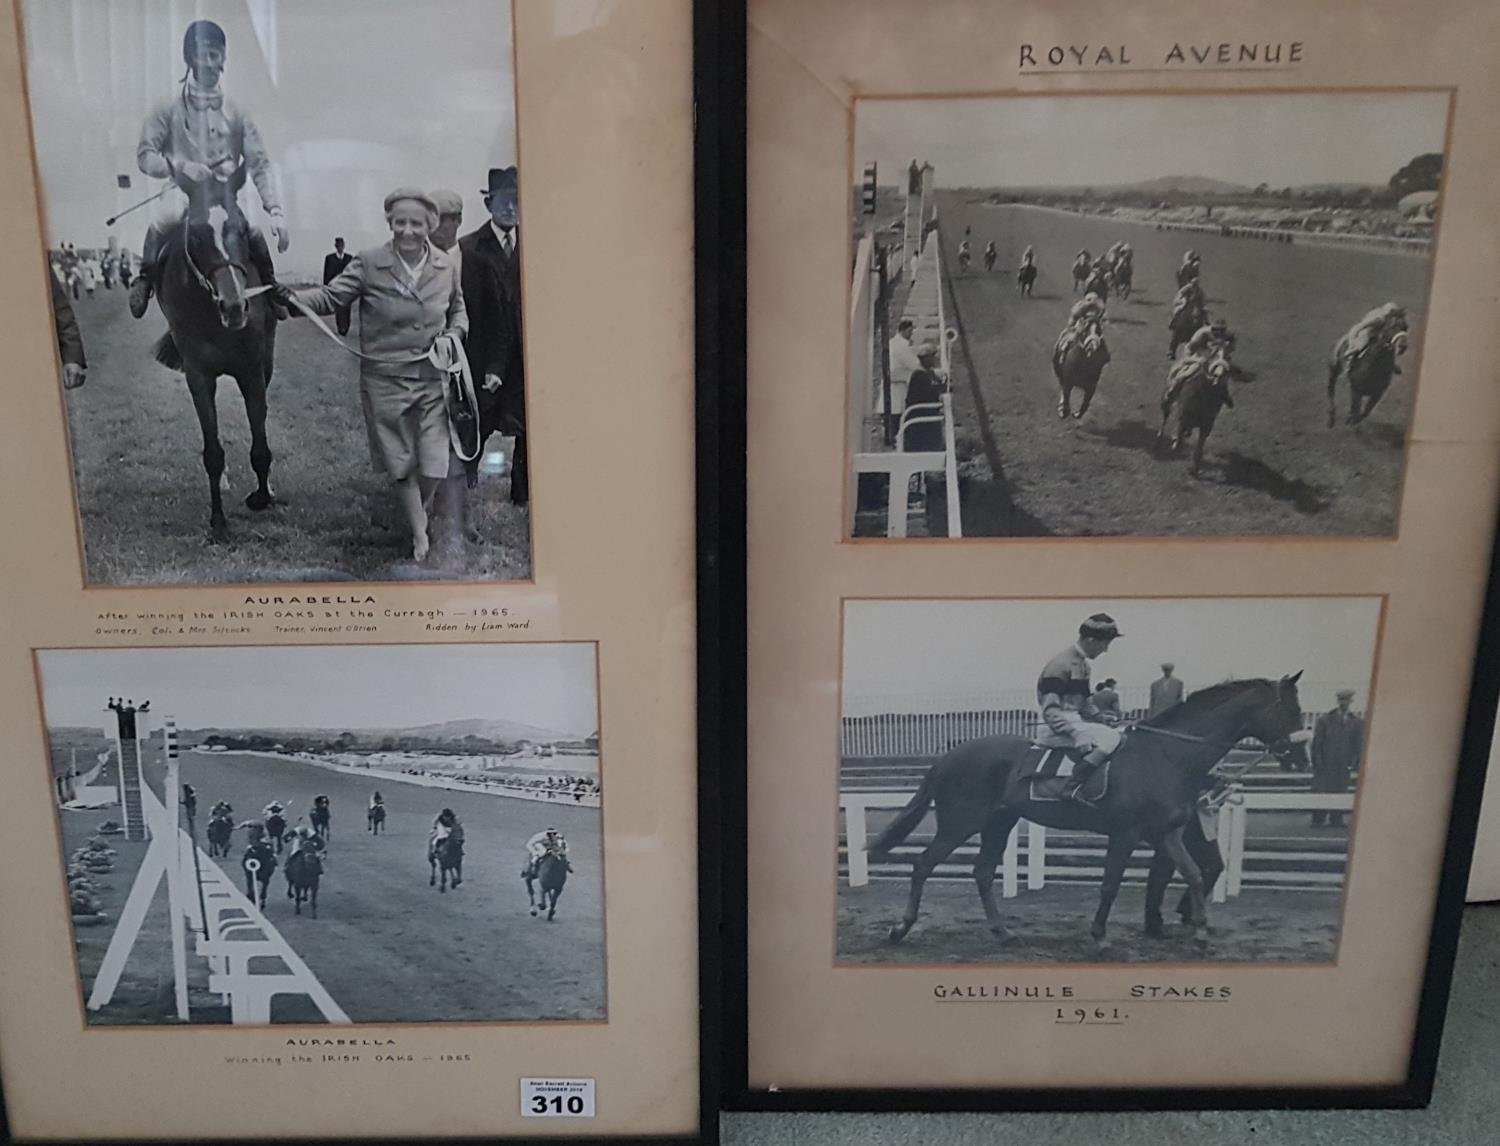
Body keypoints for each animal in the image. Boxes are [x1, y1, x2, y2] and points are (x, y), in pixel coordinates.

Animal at [153, 173, 280, 543]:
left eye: (242, 228)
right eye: (196, 234)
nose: (234, 305)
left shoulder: (253, 370)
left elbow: (260, 443)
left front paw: (261, 497)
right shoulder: (198, 376)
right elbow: (212, 452)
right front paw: (219, 522)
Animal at [876, 672, 1308, 948]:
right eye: (1290, 710)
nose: (1301, 758)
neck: (1166, 755)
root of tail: (946, 757)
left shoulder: (1166, 833)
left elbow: (1195, 875)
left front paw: (1200, 931)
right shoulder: (1126, 834)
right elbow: (1110, 884)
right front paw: (1099, 936)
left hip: (998, 822)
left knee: (981, 871)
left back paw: (1002, 933)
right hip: (960, 823)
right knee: (922, 864)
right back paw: (900, 928)